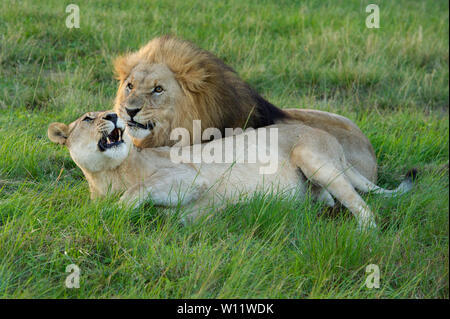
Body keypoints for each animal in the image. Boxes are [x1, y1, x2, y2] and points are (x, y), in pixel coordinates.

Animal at [48, 111, 414, 229]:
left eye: (108, 113)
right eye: (88, 117)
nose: (114, 116)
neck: (109, 176)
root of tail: (332, 142)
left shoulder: (188, 176)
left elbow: (139, 192)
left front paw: (116, 213)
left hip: (315, 159)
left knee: (363, 207)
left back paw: (365, 234)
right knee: (329, 201)